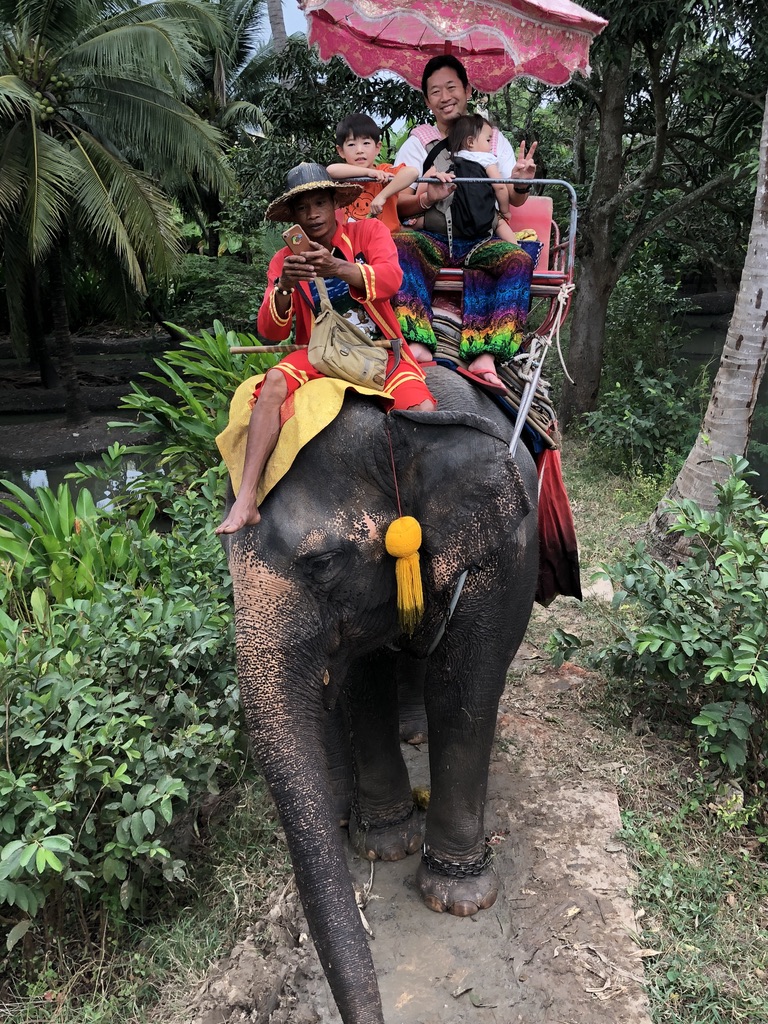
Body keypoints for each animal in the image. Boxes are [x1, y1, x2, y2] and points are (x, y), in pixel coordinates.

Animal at [219, 368, 536, 1024]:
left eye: (322, 561)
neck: (402, 425)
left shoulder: (501, 560)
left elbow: (464, 688)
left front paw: (458, 897)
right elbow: (363, 683)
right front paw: (385, 846)